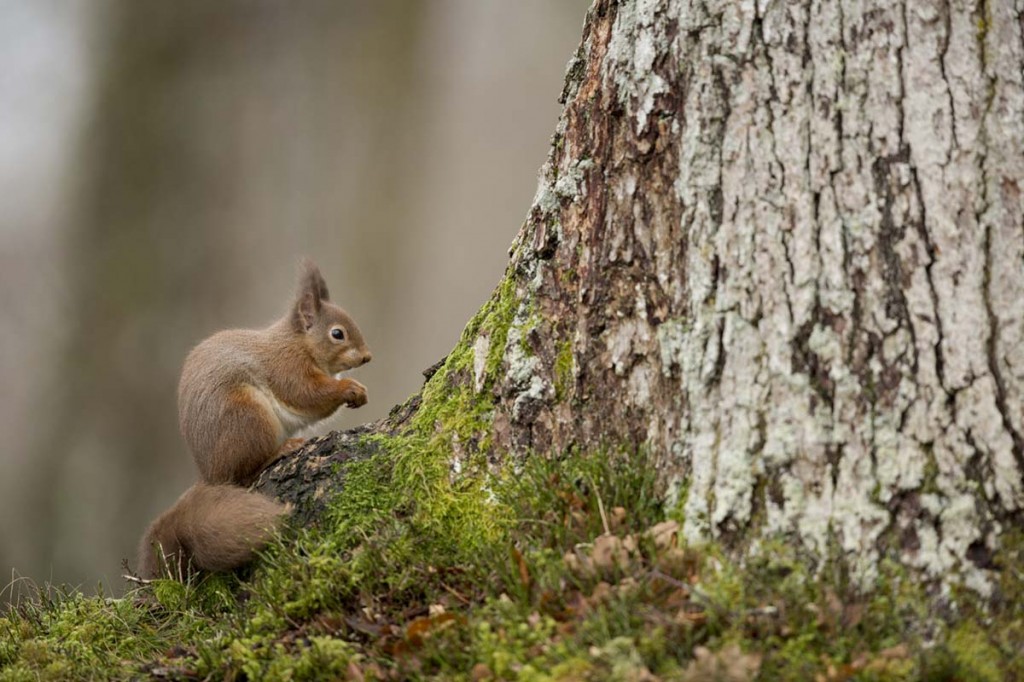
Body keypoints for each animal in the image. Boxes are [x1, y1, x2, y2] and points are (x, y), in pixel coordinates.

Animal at [137, 260, 372, 579]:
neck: (298, 343)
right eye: (338, 334)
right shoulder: (288, 368)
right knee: (247, 471)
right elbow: (308, 394)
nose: (367, 357)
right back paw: (281, 450)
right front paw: (349, 388)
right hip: (249, 418)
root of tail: (210, 475)